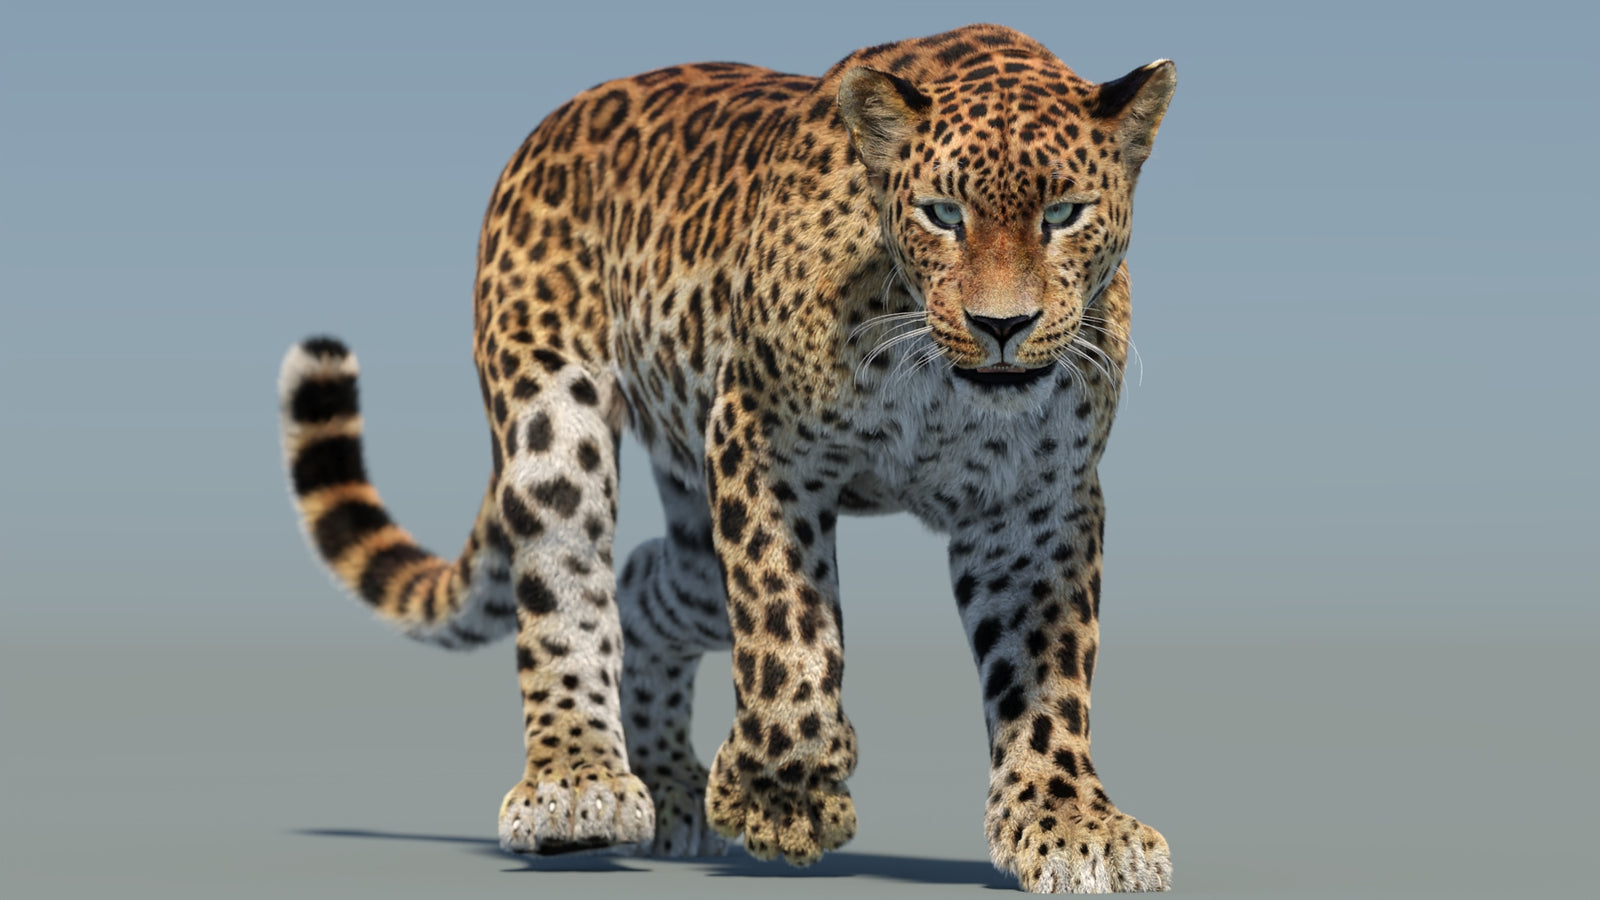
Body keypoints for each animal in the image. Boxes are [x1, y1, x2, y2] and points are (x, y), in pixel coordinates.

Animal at [277, 23, 1175, 893]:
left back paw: (671, 785)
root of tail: (554, 122)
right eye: (942, 213)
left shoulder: (1037, 503)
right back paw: (580, 784)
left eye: (1064, 211)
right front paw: (784, 801)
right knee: (570, 589)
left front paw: (1071, 824)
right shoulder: (762, 440)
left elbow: (1045, 672)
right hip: (553, 416)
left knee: (642, 584)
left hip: (695, 533)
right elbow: (788, 629)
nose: (1002, 325)